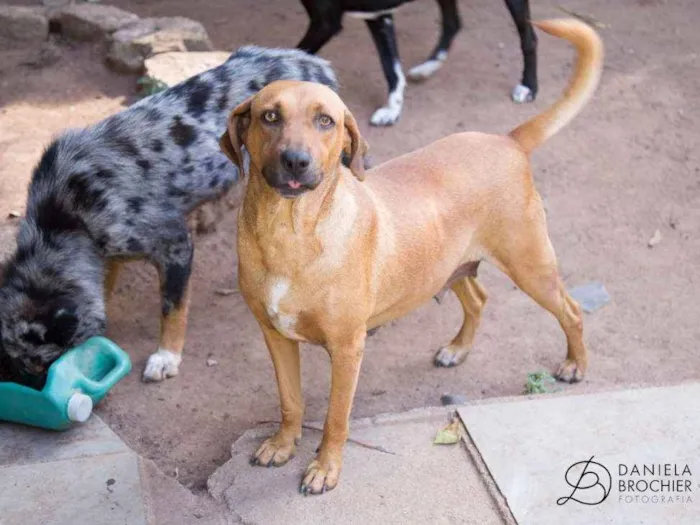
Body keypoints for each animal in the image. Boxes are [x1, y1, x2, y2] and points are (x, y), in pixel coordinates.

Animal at [0, 47, 340, 382]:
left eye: (42, 364)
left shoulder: (174, 244)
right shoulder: (107, 255)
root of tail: (317, 63)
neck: (66, 217)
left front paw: (166, 358)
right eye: (16, 364)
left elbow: (171, 309)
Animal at [221, 18, 604, 494]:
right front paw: (282, 444)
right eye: (269, 116)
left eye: (326, 120)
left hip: (531, 265)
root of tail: (507, 141)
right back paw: (457, 350)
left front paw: (325, 468)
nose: (295, 161)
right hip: (449, 267)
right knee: (479, 299)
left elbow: (334, 419)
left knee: (571, 310)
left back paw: (575, 365)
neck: (288, 231)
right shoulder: (274, 335)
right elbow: (290, 402)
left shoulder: (347, 348)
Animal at [296, 0, 536, 125]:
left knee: (529, 38)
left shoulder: (325, 22)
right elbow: (391, 68)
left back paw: (529, 87)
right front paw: (393, 109)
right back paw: (427, 68)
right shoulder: (379, 16)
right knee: (453, 23)